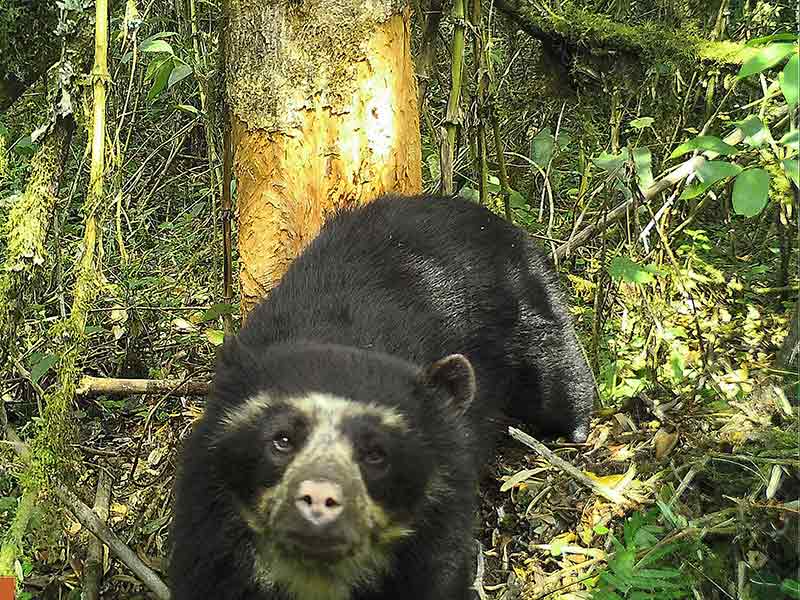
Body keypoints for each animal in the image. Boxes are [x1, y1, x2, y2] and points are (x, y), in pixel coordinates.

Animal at [169, 195, 592, 596]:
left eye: (376, 453)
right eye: (282, 440)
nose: (319, 499)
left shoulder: (435, 534)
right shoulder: (208, 530)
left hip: (528, 306)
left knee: (557, 371)